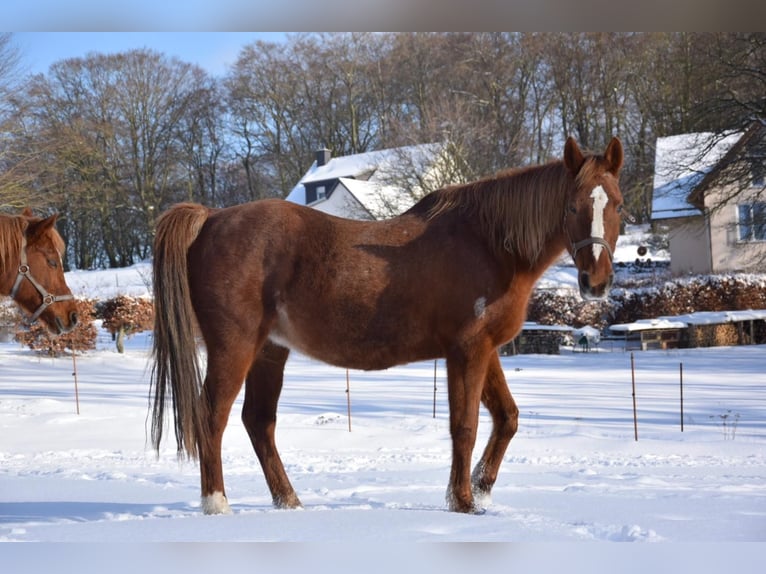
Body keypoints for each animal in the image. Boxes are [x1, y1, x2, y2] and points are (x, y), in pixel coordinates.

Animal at [153, 137, 628, 516]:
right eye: (572, 205)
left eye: (617, 203)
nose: (596, 282)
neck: (488, 244)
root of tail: (210, 217)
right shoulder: (467, 350)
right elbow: (465, 426)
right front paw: (463, 502)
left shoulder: (485, 348)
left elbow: (507, 418)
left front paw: (481, 487)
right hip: (234, 347)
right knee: (212, 417)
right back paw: (217, 503)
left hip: (270, 350)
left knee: (258, 421)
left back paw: (289, 501)